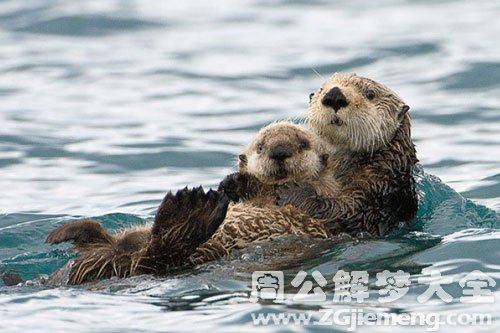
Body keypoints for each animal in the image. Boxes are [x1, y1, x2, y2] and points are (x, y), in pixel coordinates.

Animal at [46, 121, 340, 282]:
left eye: (302, 144)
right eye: (260, 147)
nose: (279, 152)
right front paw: (233, 182)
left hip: (197, 252)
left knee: (155, 257)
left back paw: (191, 209)